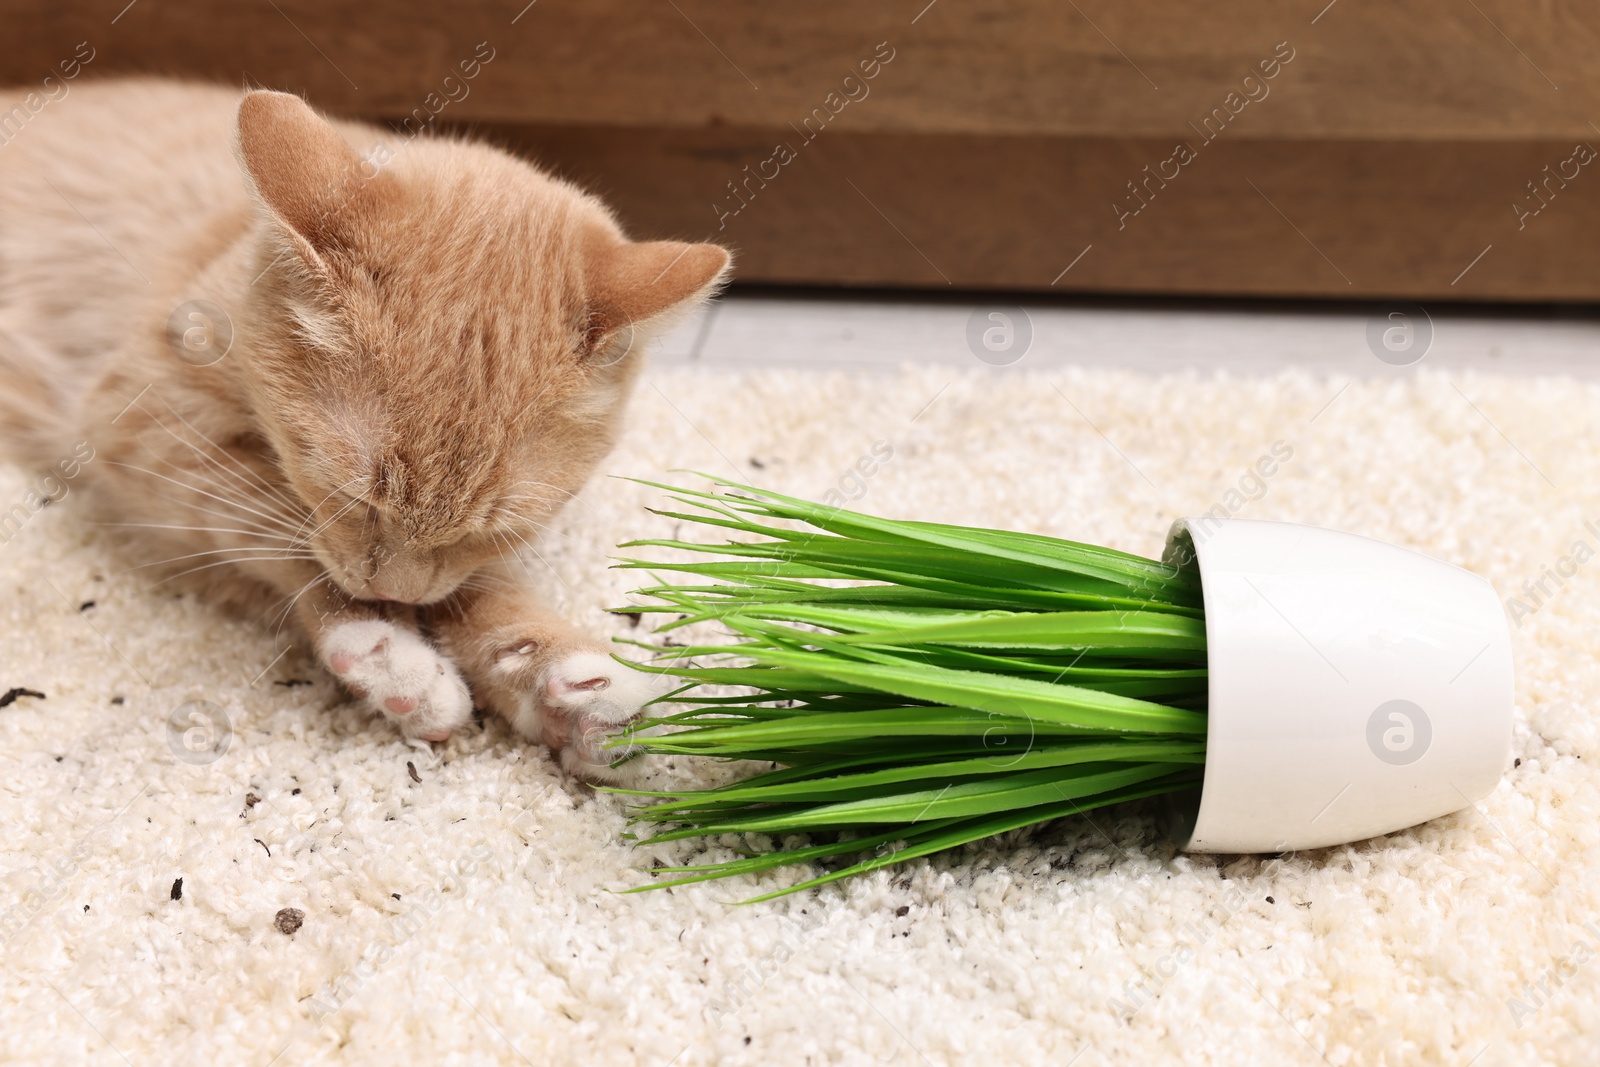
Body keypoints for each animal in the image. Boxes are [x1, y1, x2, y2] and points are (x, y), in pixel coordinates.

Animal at [0, 81, 732, 783]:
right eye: (349, 493)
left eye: (494, 529)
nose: (392, 594)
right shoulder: (141, 428)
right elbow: (277, 529)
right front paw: (385, 649)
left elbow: (475, 586)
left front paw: (561, 681)